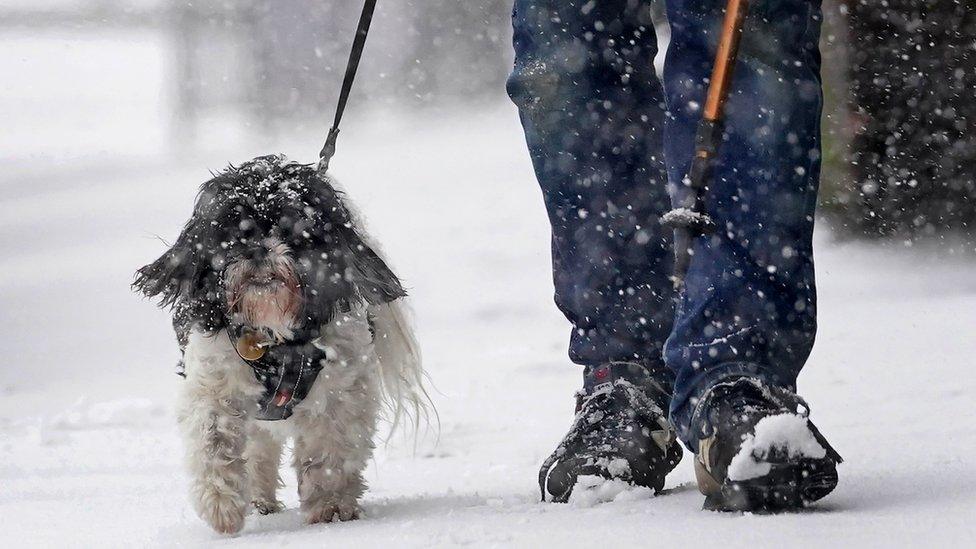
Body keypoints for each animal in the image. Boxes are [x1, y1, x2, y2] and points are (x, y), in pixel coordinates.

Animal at [133, 154, 428, 532]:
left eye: (291, 230)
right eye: (233, 231)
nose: (258, 249)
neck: (272, 337)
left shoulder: (342, 392)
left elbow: (330, 449)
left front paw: (331, 506)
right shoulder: (214, 382)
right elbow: (213, 438)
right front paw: (221, 506)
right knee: (258, 449)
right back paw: (260, 500)